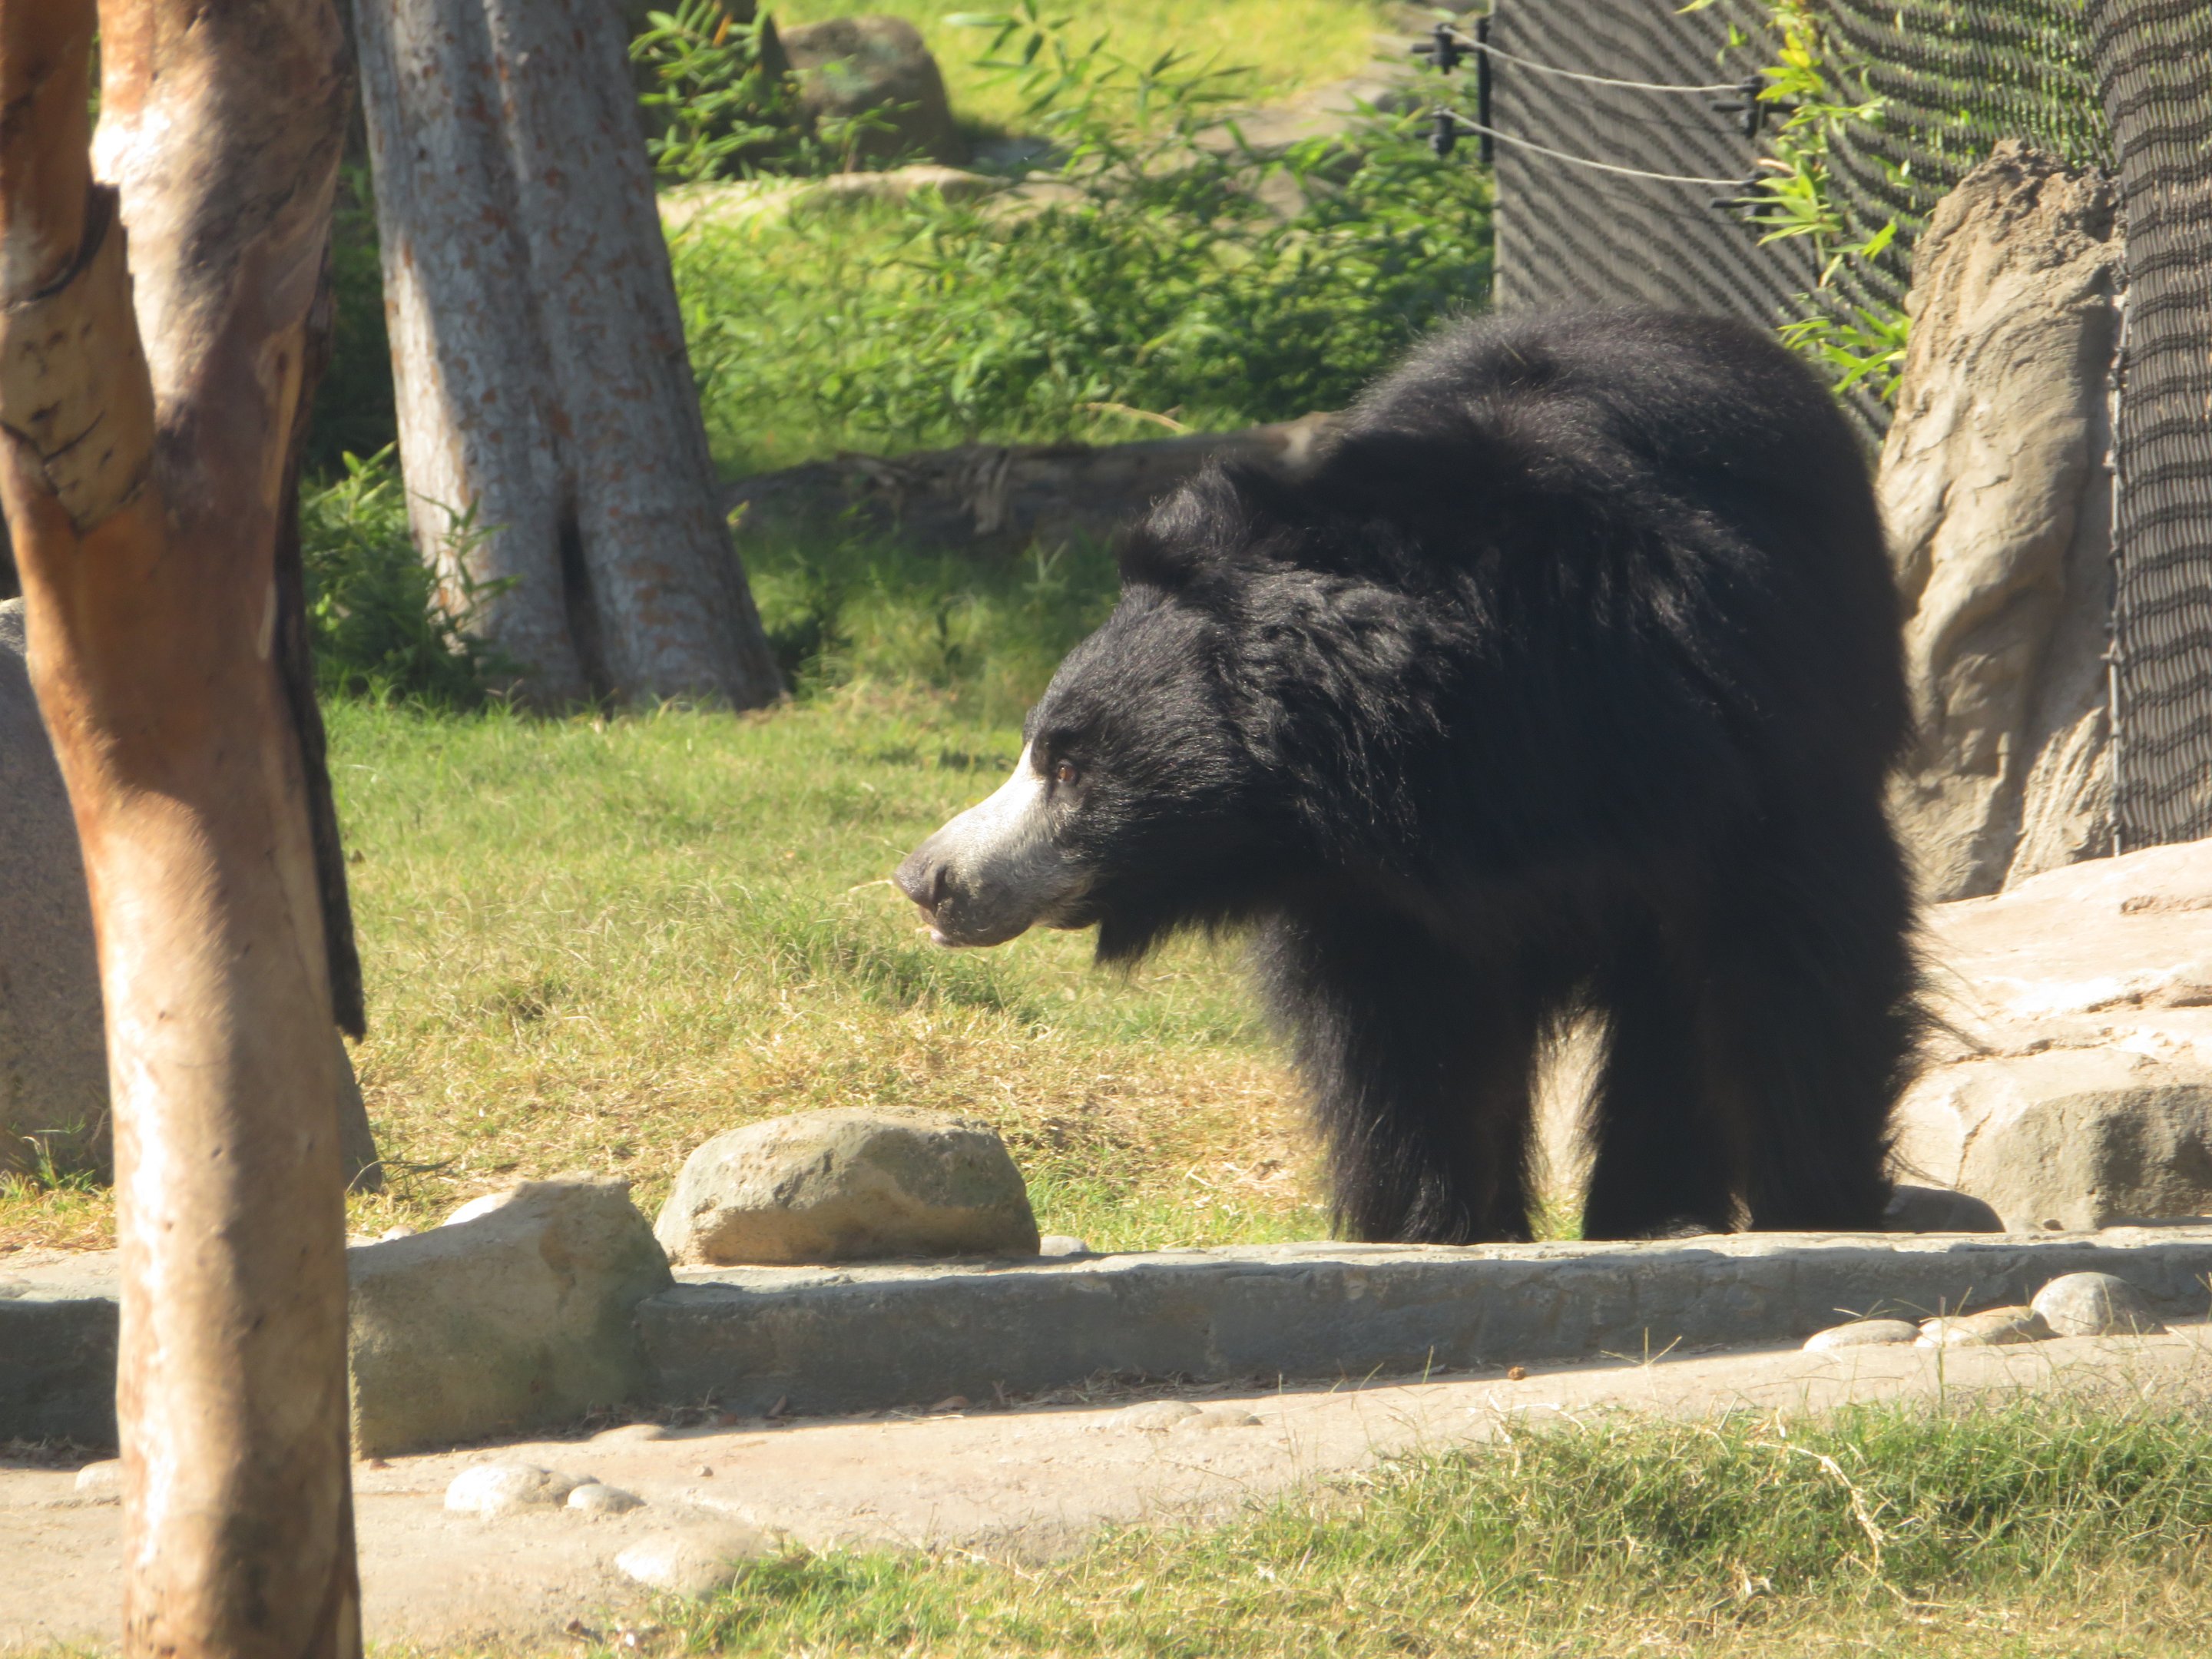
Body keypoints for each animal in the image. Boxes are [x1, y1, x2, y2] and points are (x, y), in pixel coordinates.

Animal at [893, 311, 1920, 1244]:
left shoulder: (1753, 737)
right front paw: (1437, 1225)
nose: (928, 879)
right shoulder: (1380, 892)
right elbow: (1406, 1037)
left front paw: (1817, 1210)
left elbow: (1799, 956)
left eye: (1070, 764)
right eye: (1038, 746)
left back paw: (1657, 1216)